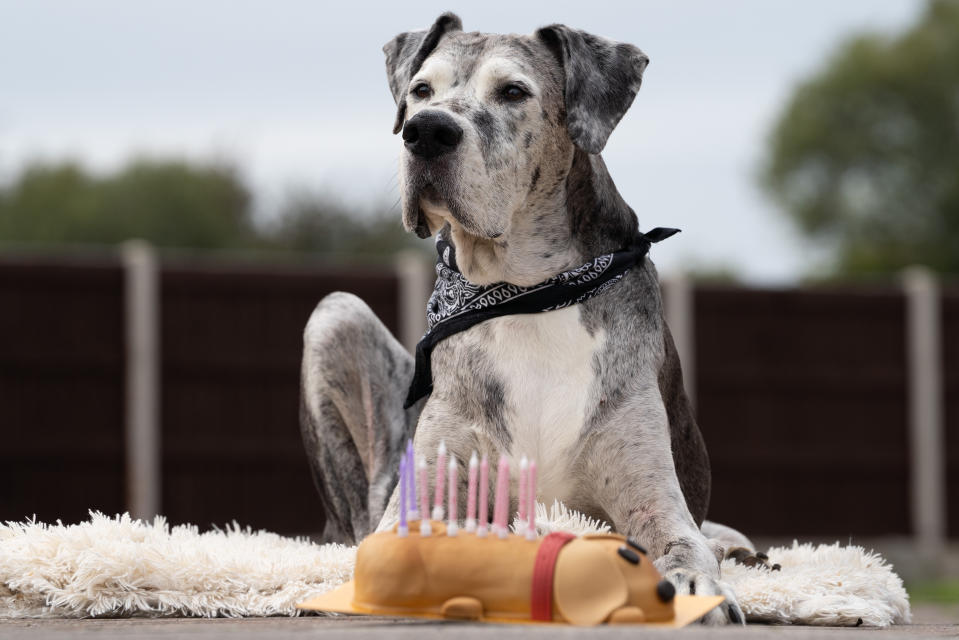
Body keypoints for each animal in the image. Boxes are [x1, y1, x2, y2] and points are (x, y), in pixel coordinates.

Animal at [300, 12, 764, 624]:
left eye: (514, 92)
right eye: (421, 90)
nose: (425, 131)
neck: (525, 290)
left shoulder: (649, 491)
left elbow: (684, 542)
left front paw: (694, 584)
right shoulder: (428, 487)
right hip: (336, 314)